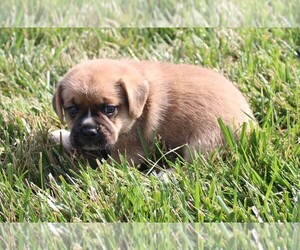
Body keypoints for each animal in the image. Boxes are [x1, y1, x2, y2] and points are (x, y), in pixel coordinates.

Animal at [52, 59, 255, 165]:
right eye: (72, 110)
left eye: (109, 109)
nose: (88, 132)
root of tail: (252, 128)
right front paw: (61, 135)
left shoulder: (129, 153)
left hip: (203, 142)